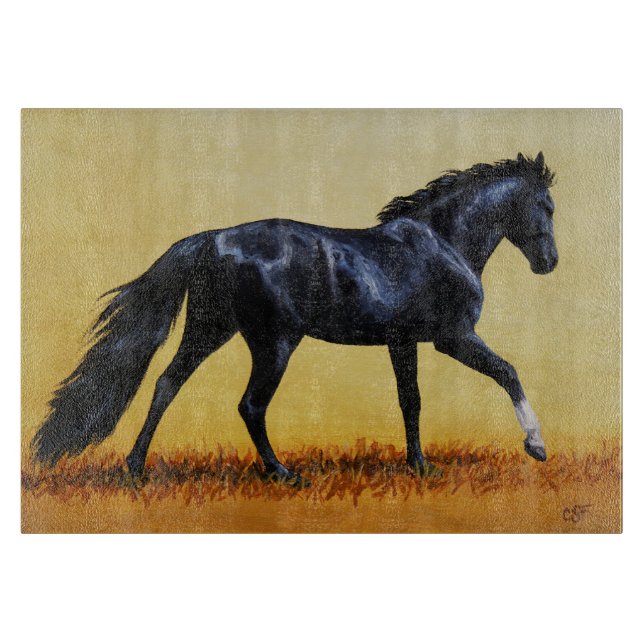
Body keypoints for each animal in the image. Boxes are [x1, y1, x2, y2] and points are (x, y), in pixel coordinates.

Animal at [32, 152, 558, 484]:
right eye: (545, 205)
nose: (549, 263)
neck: (443, 243)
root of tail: (213, 238)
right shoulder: (453, 336)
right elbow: (508, 372)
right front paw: (536, 446)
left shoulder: (402, 341)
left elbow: (411, 402)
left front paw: (421, 466)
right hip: (274, 343)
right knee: (249, 405)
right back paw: (283, 474)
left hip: (210, 329)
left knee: (167, 383)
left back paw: (135, 469)